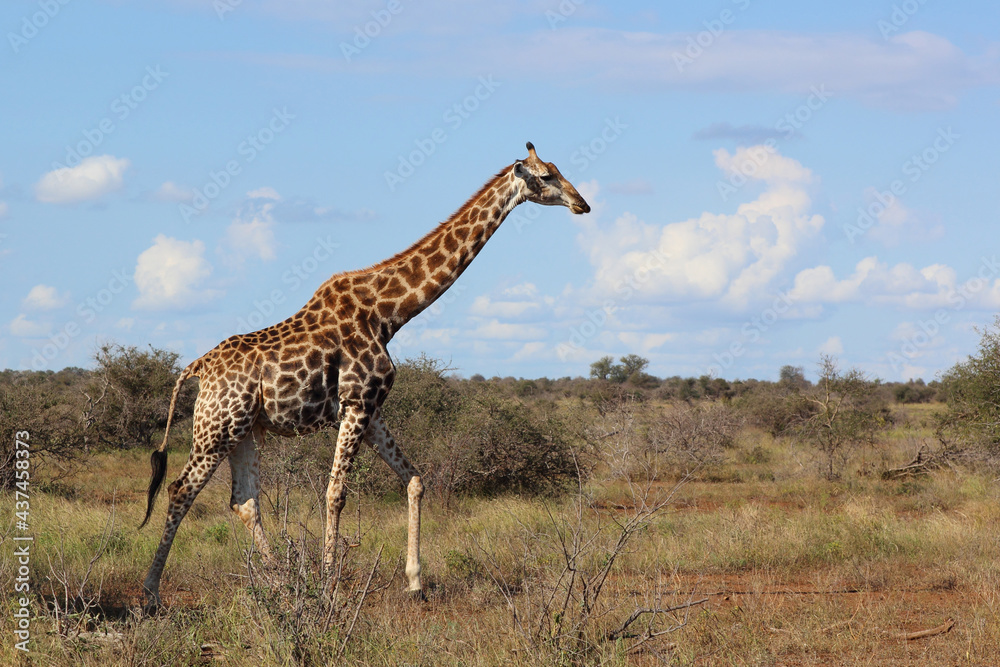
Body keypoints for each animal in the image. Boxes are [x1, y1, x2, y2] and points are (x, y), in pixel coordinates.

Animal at [139, 142, 590, 612]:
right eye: (546, 176)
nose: (583, 203)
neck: (388, 313)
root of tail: (196, 368)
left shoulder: (370, 408)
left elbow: (414, 480)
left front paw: (414, 581)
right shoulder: (356, 404)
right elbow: (335, 492)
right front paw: (328, 585)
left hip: (244, 431)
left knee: (244, 501)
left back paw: (278, 581)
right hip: (215, 429)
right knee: (179, 490)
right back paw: (151, 593)